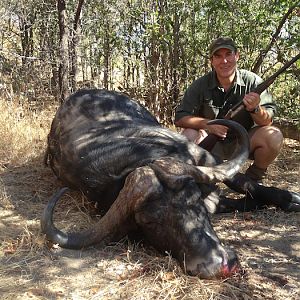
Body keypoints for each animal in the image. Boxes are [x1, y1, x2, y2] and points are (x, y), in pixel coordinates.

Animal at [41, 88, 298, 278]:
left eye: (195, 201)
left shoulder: (209, 160)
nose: (219, 265)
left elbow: (248, 185)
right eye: (151, 222)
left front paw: (291, 199)